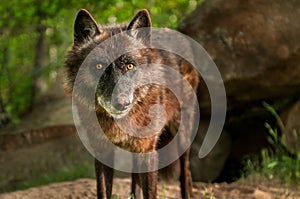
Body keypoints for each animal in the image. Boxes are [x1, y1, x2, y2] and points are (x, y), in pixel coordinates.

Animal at [62, 8, 199, 198]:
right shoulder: (102, 151)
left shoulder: (148, 151)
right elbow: (103, 191)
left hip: (182, 134)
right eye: (98, 66)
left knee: (186, 173)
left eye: (130, 66)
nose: (121, 103)